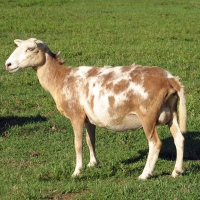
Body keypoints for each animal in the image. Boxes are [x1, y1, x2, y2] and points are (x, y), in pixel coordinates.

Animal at [4, 38, 186, 179]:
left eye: (30, 48)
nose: (8, 64)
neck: (60, 79)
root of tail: (171, 80)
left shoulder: (76, 115)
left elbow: (78, 144)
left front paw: (77, 171)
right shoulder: (88, 118)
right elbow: (90, 140)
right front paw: (93, 163)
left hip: (148, 116)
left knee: (155, 143)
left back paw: (145, 174)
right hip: (172, 112)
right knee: (179, 139)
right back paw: (177, 171)